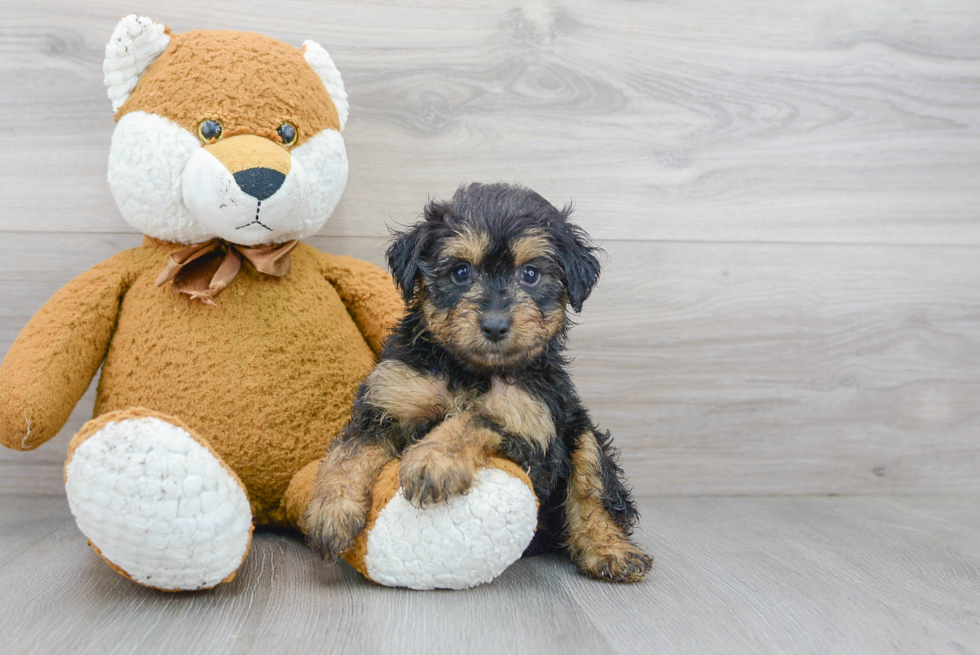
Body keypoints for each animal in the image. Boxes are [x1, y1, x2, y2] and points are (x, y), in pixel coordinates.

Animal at [304, 182, 652, 580]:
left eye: (530, 274)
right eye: (460, 272)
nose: (496, 325)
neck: (468, 370)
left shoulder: (532, 421)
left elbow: (476, 417)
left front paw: (434, 460)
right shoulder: (389, 400)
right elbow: (350, 451)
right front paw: (331, 510)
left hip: (579, 428)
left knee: (593, 485)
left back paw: (609, 549)